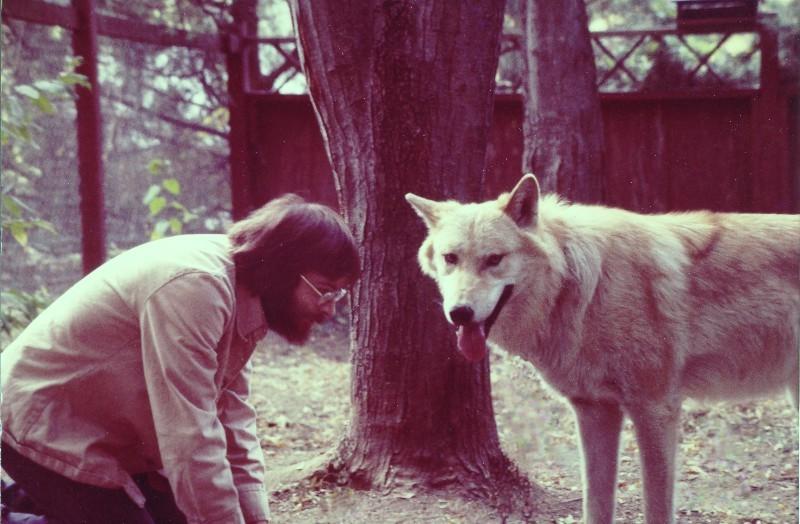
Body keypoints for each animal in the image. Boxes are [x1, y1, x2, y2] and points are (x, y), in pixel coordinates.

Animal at [405, 174, 799, 524]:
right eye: (451, 258)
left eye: (493, 259)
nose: (459, 312)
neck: (585, 289)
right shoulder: (595, 411)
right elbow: (595, 506)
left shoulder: (655, 409)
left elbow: (657, 509)